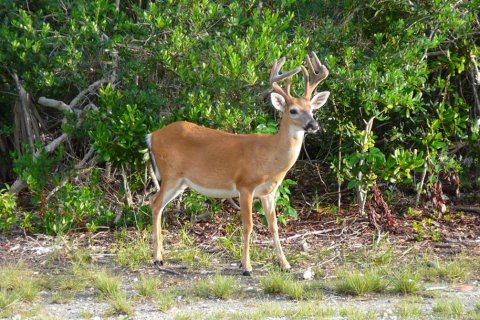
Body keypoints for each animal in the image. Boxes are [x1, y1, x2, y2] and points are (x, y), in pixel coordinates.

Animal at [146, 52, 330, 276]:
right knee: (155, 203)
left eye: (312, 109)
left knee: (157, 203)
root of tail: (152, 136)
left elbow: (274, 225)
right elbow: (248, 225)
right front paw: (246, 266)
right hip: (171, 174)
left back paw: (160, 255)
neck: (270, 157)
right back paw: (157, 259)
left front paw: (285, 264)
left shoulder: (268, 192)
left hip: (181, 182)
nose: (313, 125)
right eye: (293, 110)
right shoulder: (245, 185)